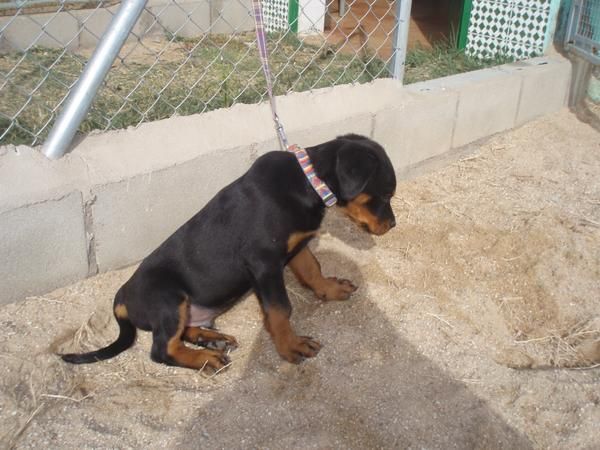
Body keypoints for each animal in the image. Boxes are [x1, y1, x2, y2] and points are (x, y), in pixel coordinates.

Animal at [62, 134, 398, 372]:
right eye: (385, 195)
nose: (393, 225)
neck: (308, 183)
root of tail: (122, 296)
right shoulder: (264, 261)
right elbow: (280, 309)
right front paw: (291, 346)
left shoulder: (294, 246)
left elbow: (312, 268)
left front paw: (331, 288)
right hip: (169, 297)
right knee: (161, 350)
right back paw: (204, 359)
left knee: (181, 334)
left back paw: (211, 339)